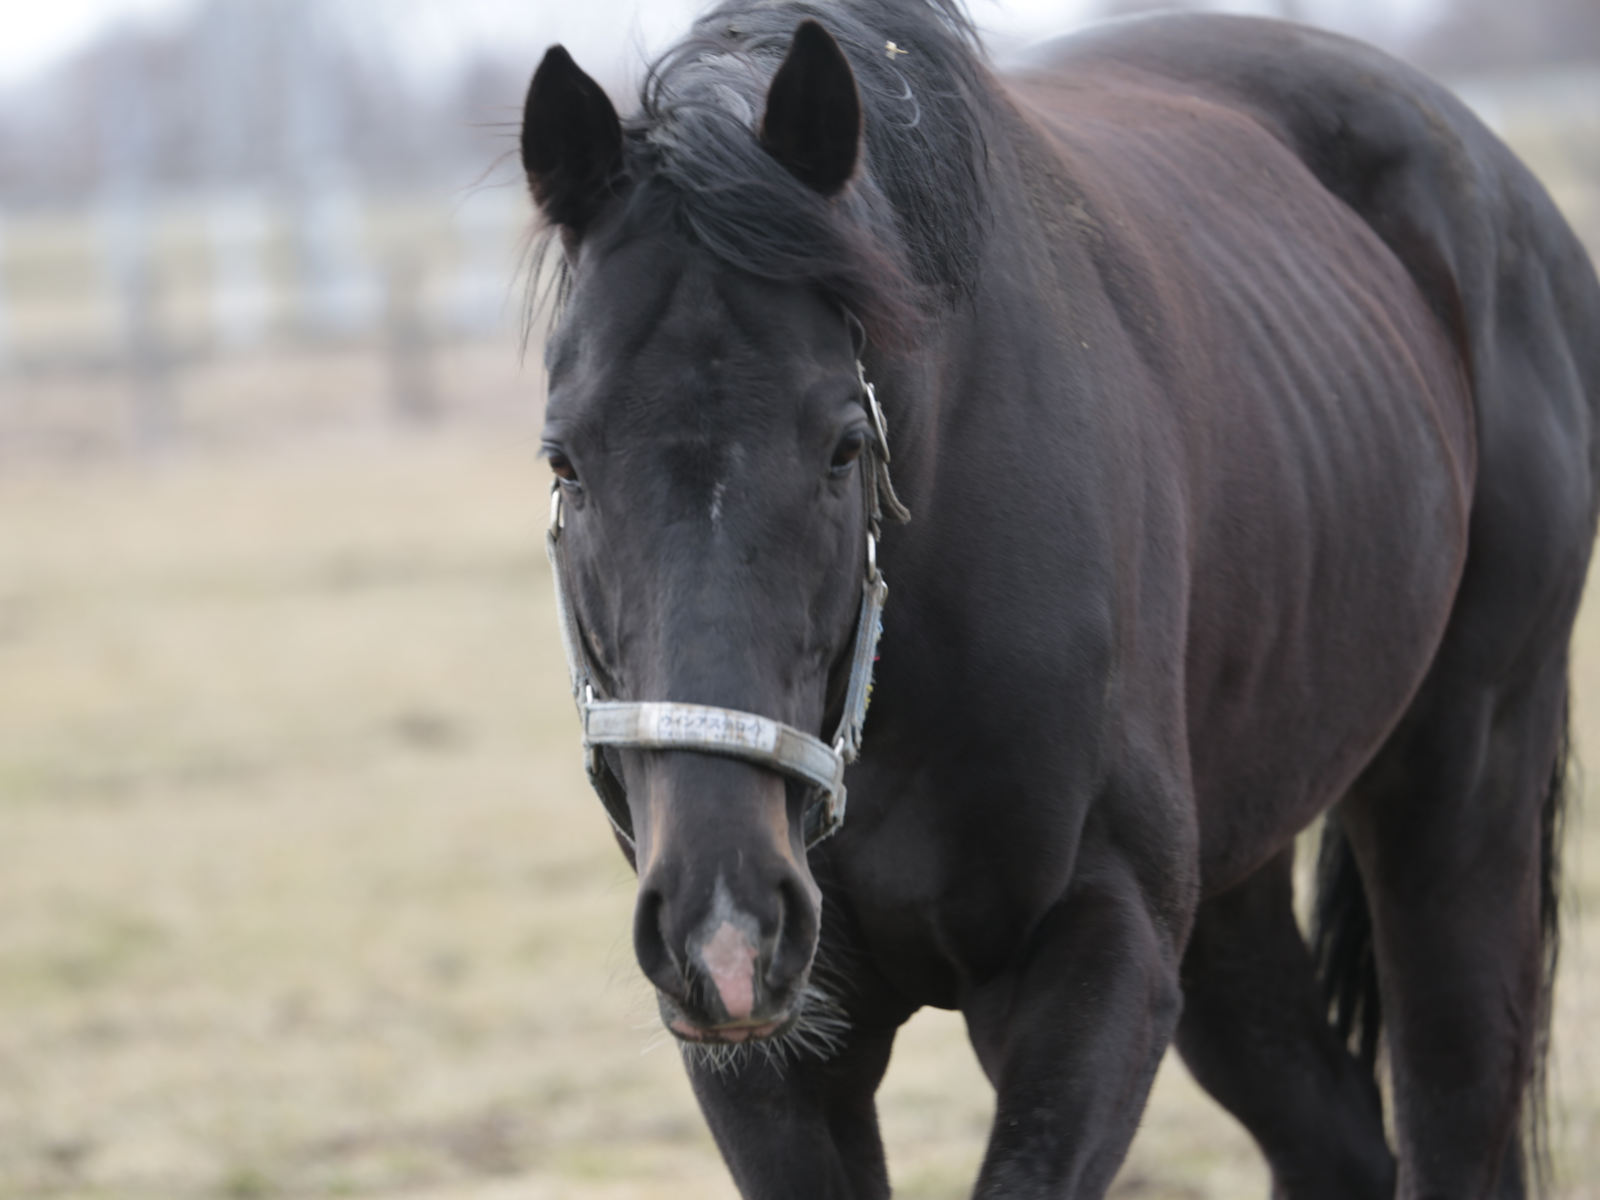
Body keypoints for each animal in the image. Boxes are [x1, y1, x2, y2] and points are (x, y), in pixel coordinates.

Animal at [518, 4, 1593, 1196]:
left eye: (844, 447)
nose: (724, 923)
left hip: (1461, 782)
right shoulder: (779, 1061)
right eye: (565, 462)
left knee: (1457, 1090)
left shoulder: (1096, 957)